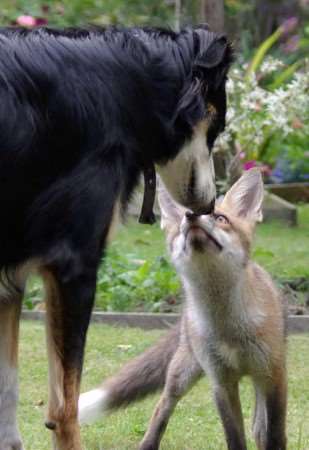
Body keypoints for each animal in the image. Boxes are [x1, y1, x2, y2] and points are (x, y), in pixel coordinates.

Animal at [0, 25, 231, 450]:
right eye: (216, 126)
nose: (209, 206)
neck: (130, 86)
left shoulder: (11, 276)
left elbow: (8, 396)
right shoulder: (74, 265)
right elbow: (65, 408)